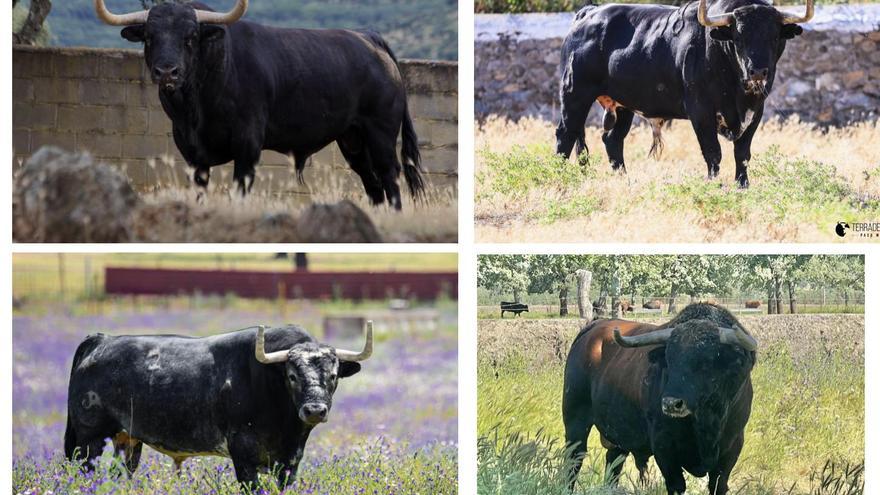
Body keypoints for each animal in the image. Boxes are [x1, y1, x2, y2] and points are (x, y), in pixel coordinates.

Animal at [65, 324, 372, 490]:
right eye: (292, 376)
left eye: (333, 375)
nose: (315, 410)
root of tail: (102, 340)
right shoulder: (243, 454)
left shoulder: (289, 462)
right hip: (89, 440)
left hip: (127, 440)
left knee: (119, 475)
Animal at [96, 0, 422, 209]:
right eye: (149, 37)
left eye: (191, 37)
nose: (166, 72)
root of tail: (370, 38)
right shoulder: (192, 154)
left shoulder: (248, 146)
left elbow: (239, 191)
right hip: (352, 141)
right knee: (373, 184)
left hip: (380, 135)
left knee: (390, 178)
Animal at [552, 0, 816, 188]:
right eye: (738, 36)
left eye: (774, 35)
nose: (758, 71)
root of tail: (588, 13)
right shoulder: (700, 111)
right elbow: (713, 153)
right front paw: (714, 185)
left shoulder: (755, 112)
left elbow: (742, 154)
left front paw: (743, 186)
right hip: (575, 94)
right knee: (566, 135)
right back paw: (559, 178)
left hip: (623, 105)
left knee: (613, 140)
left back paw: (624, 180)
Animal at [564, 304, 756, 494]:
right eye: (669, 360)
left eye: (707, 361)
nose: (671, 403)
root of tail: (595, 326)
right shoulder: (664, 447)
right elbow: (676, 485)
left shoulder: (732, 447)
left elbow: (718, 485)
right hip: (575, 419)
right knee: (574, 458)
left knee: (613, 462)